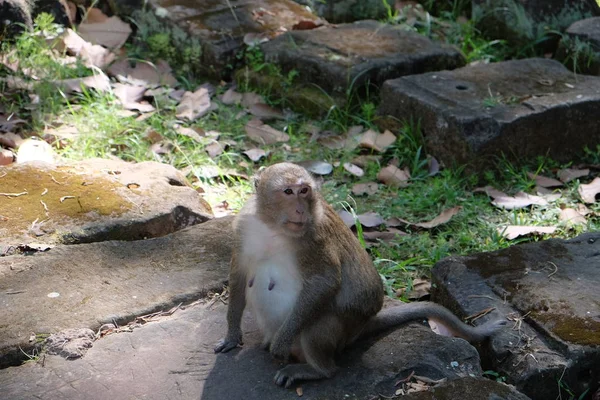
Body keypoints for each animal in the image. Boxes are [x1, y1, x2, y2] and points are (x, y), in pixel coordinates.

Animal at [213, 162, 504, 388]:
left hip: (338, 331)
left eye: (304, 191)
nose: (300, 210)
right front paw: (232, 335)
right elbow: (239, 274)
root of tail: (362, 326)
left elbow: (324, 282)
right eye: (288, 191)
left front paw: (281, 344)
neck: (273, 226)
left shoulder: (314, 238)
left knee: (317, 324)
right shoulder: (244, 226)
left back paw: (315, 369)